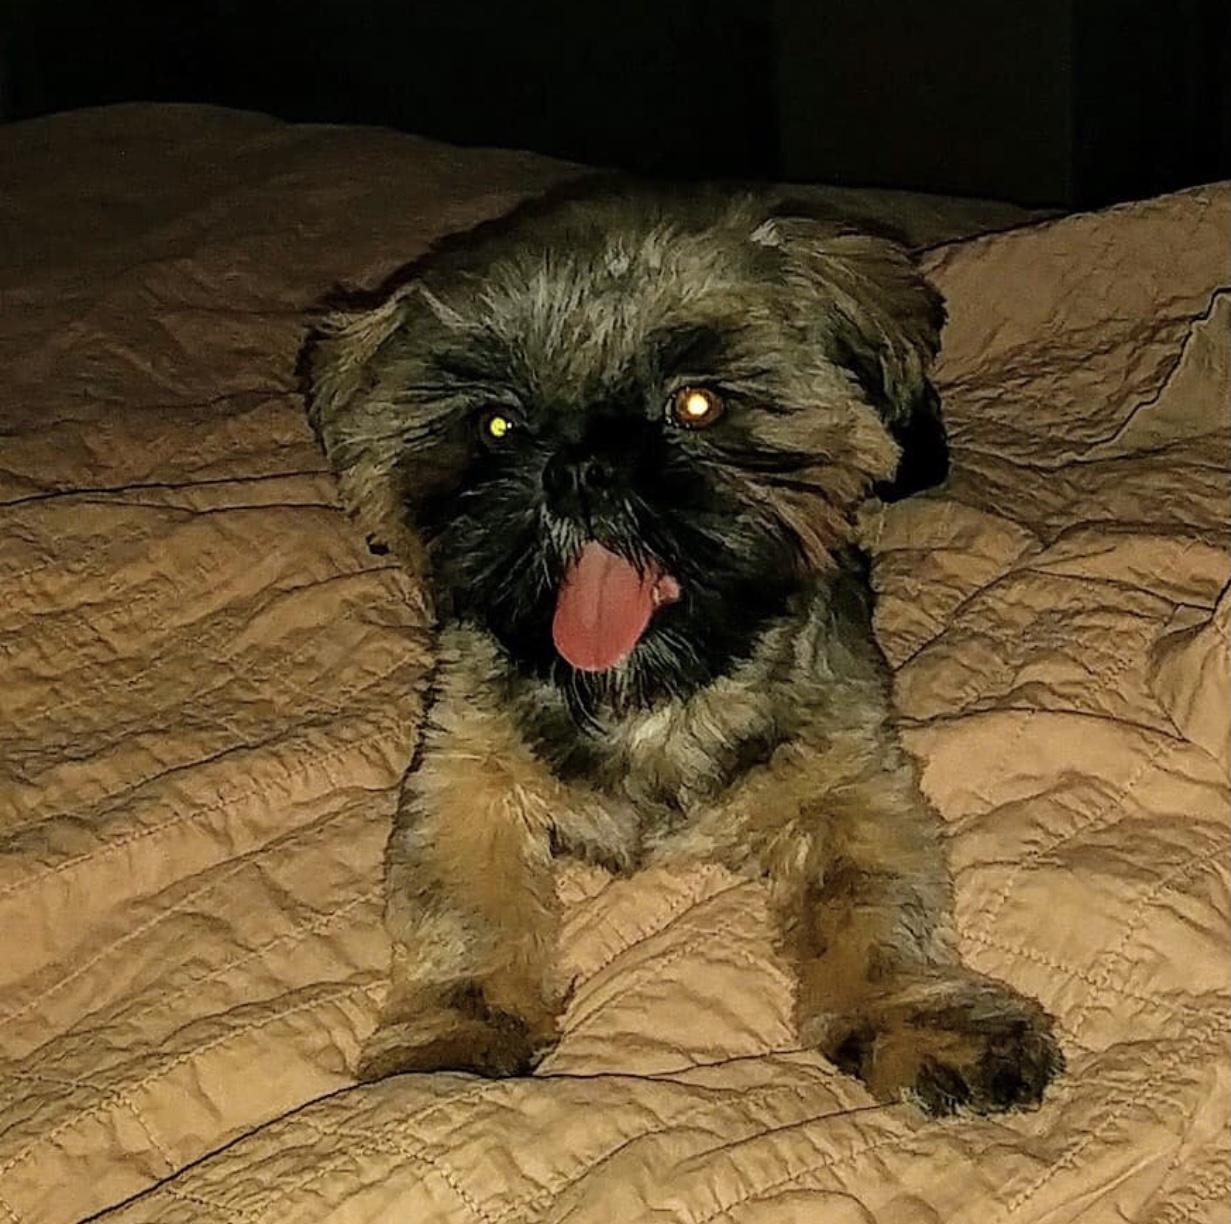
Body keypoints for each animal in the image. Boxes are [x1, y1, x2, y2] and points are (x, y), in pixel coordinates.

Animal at [302, 182, 1062, 1115]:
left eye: (697, 404)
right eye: (497, 425)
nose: (580, 468)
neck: (652, 694)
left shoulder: (850, 779)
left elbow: (873, 898)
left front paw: (920, 1019)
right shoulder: (462, 771)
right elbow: (466, 903)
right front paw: (453, 1034)